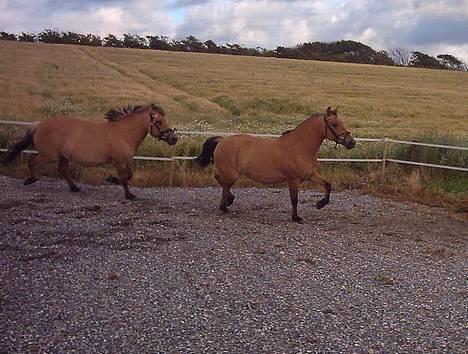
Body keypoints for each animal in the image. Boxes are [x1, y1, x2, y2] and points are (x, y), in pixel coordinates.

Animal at [2, 103, 178, 201]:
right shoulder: (118, 161)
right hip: (48, 155)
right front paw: (129, 195)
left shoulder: (125, 160)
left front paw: (111, 179)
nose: (174, 138)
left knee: (62, 170)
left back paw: (75, 188)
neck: (124, 133)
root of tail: (39, 124)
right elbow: (124, 178)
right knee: (32, 161)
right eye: (159, 121)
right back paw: (30, 180)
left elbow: (128, 176)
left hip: (64, 156)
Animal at [196, 106, 356, 223]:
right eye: (334, 124)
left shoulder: (310, 175)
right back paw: (228, 202)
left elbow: (328, 185)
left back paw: (225, 206)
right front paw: (296, 218)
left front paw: (320, 204)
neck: (300, 147)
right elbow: (294, 199)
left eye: (342, 123)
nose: (352, 142)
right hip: (231, 173)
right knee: (221, 180)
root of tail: (222, 141)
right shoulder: (293, 180)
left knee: (224, 183)